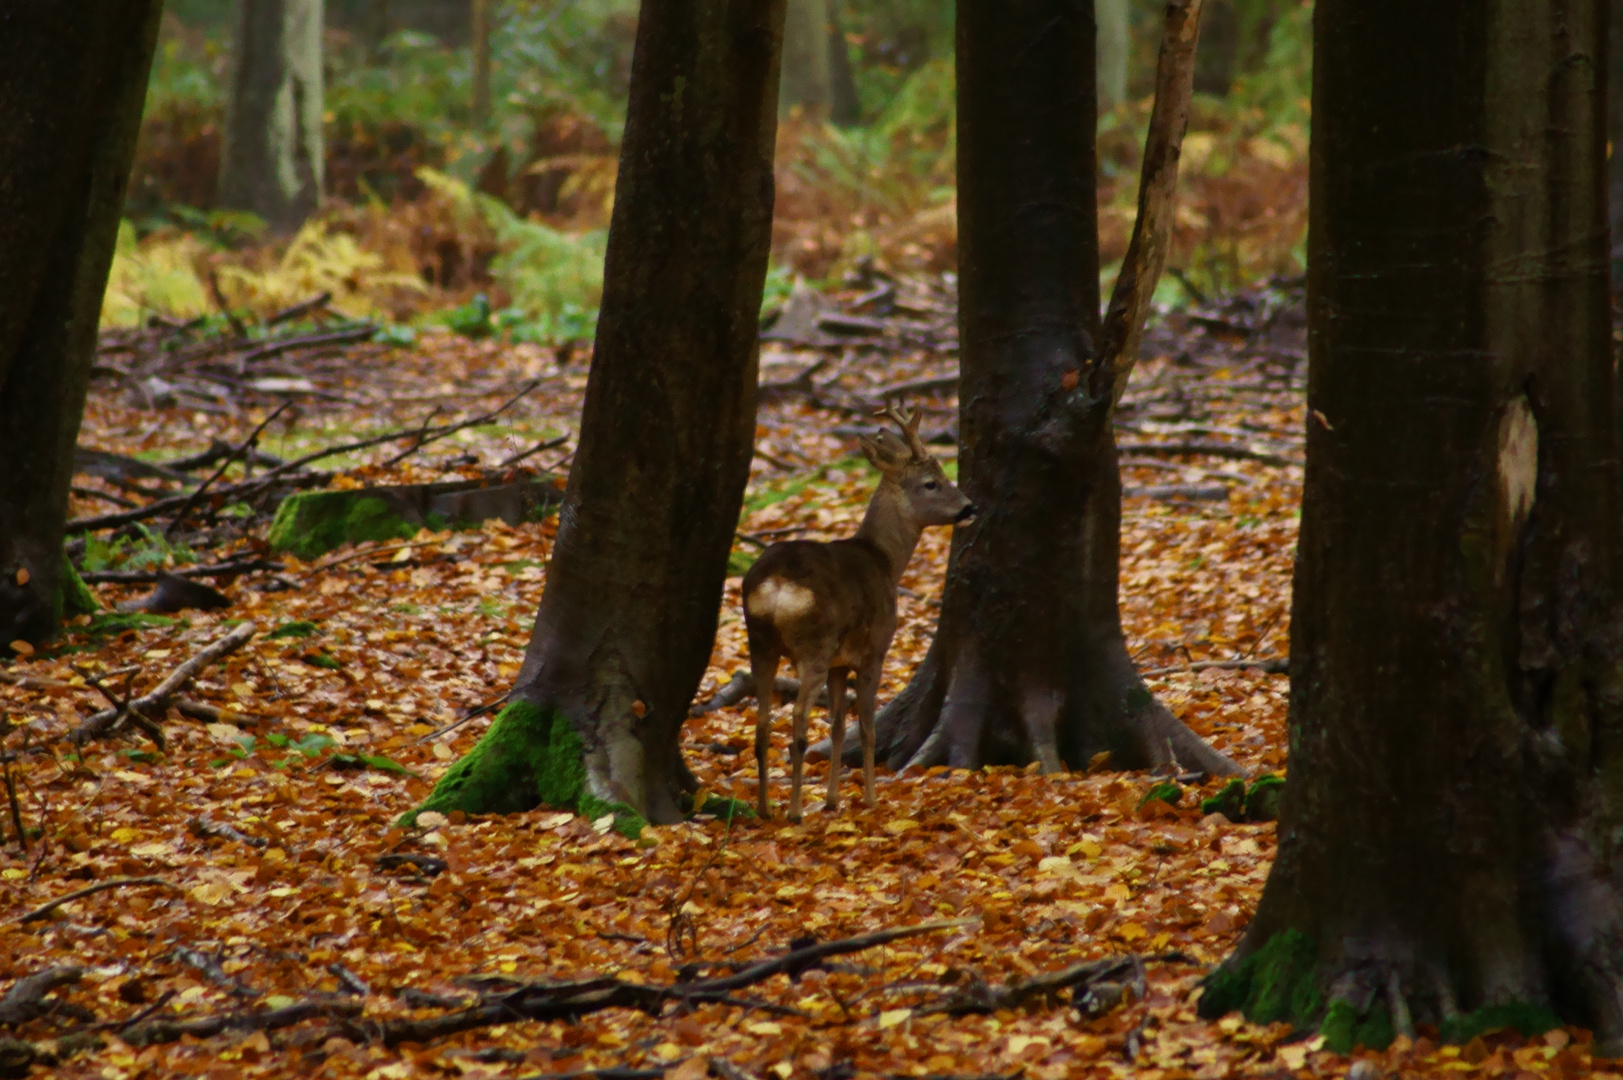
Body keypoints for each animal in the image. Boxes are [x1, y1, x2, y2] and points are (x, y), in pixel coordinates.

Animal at [743, 404, 973, 818]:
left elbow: (837, 725)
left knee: (763, 722)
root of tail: (778, 583)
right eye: (931, 482)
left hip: (761, 643)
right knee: (798, 719)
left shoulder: (839, 662)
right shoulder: (875, 650)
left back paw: (766, 808)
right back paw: (794, 810)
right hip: (813, 644)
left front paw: (833, 800)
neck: (884, 559)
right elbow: (866, 726)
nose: (969, 507)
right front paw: (870, 797)